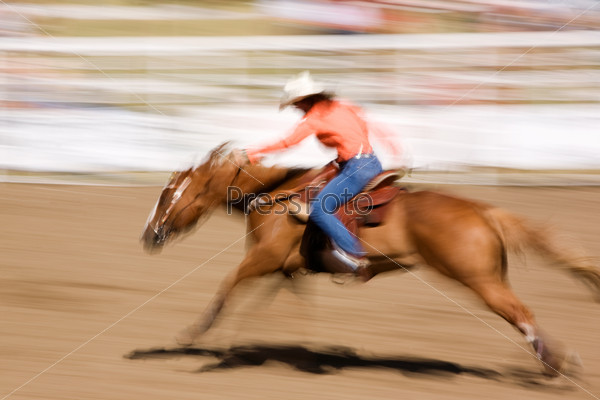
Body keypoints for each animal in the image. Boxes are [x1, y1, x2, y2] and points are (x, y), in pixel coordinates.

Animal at [142, 142, 600, 376]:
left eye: (168, 195)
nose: (149, 236)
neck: (275, 196)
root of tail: (483, 211)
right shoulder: (286, 270)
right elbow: (283, 306)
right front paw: (298, 355)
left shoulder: (263, 259)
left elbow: (228, 286)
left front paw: (195, 335)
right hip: (489, 277)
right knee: (522, 313)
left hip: (479, 280)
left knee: (521, 313)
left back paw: (553, 365)